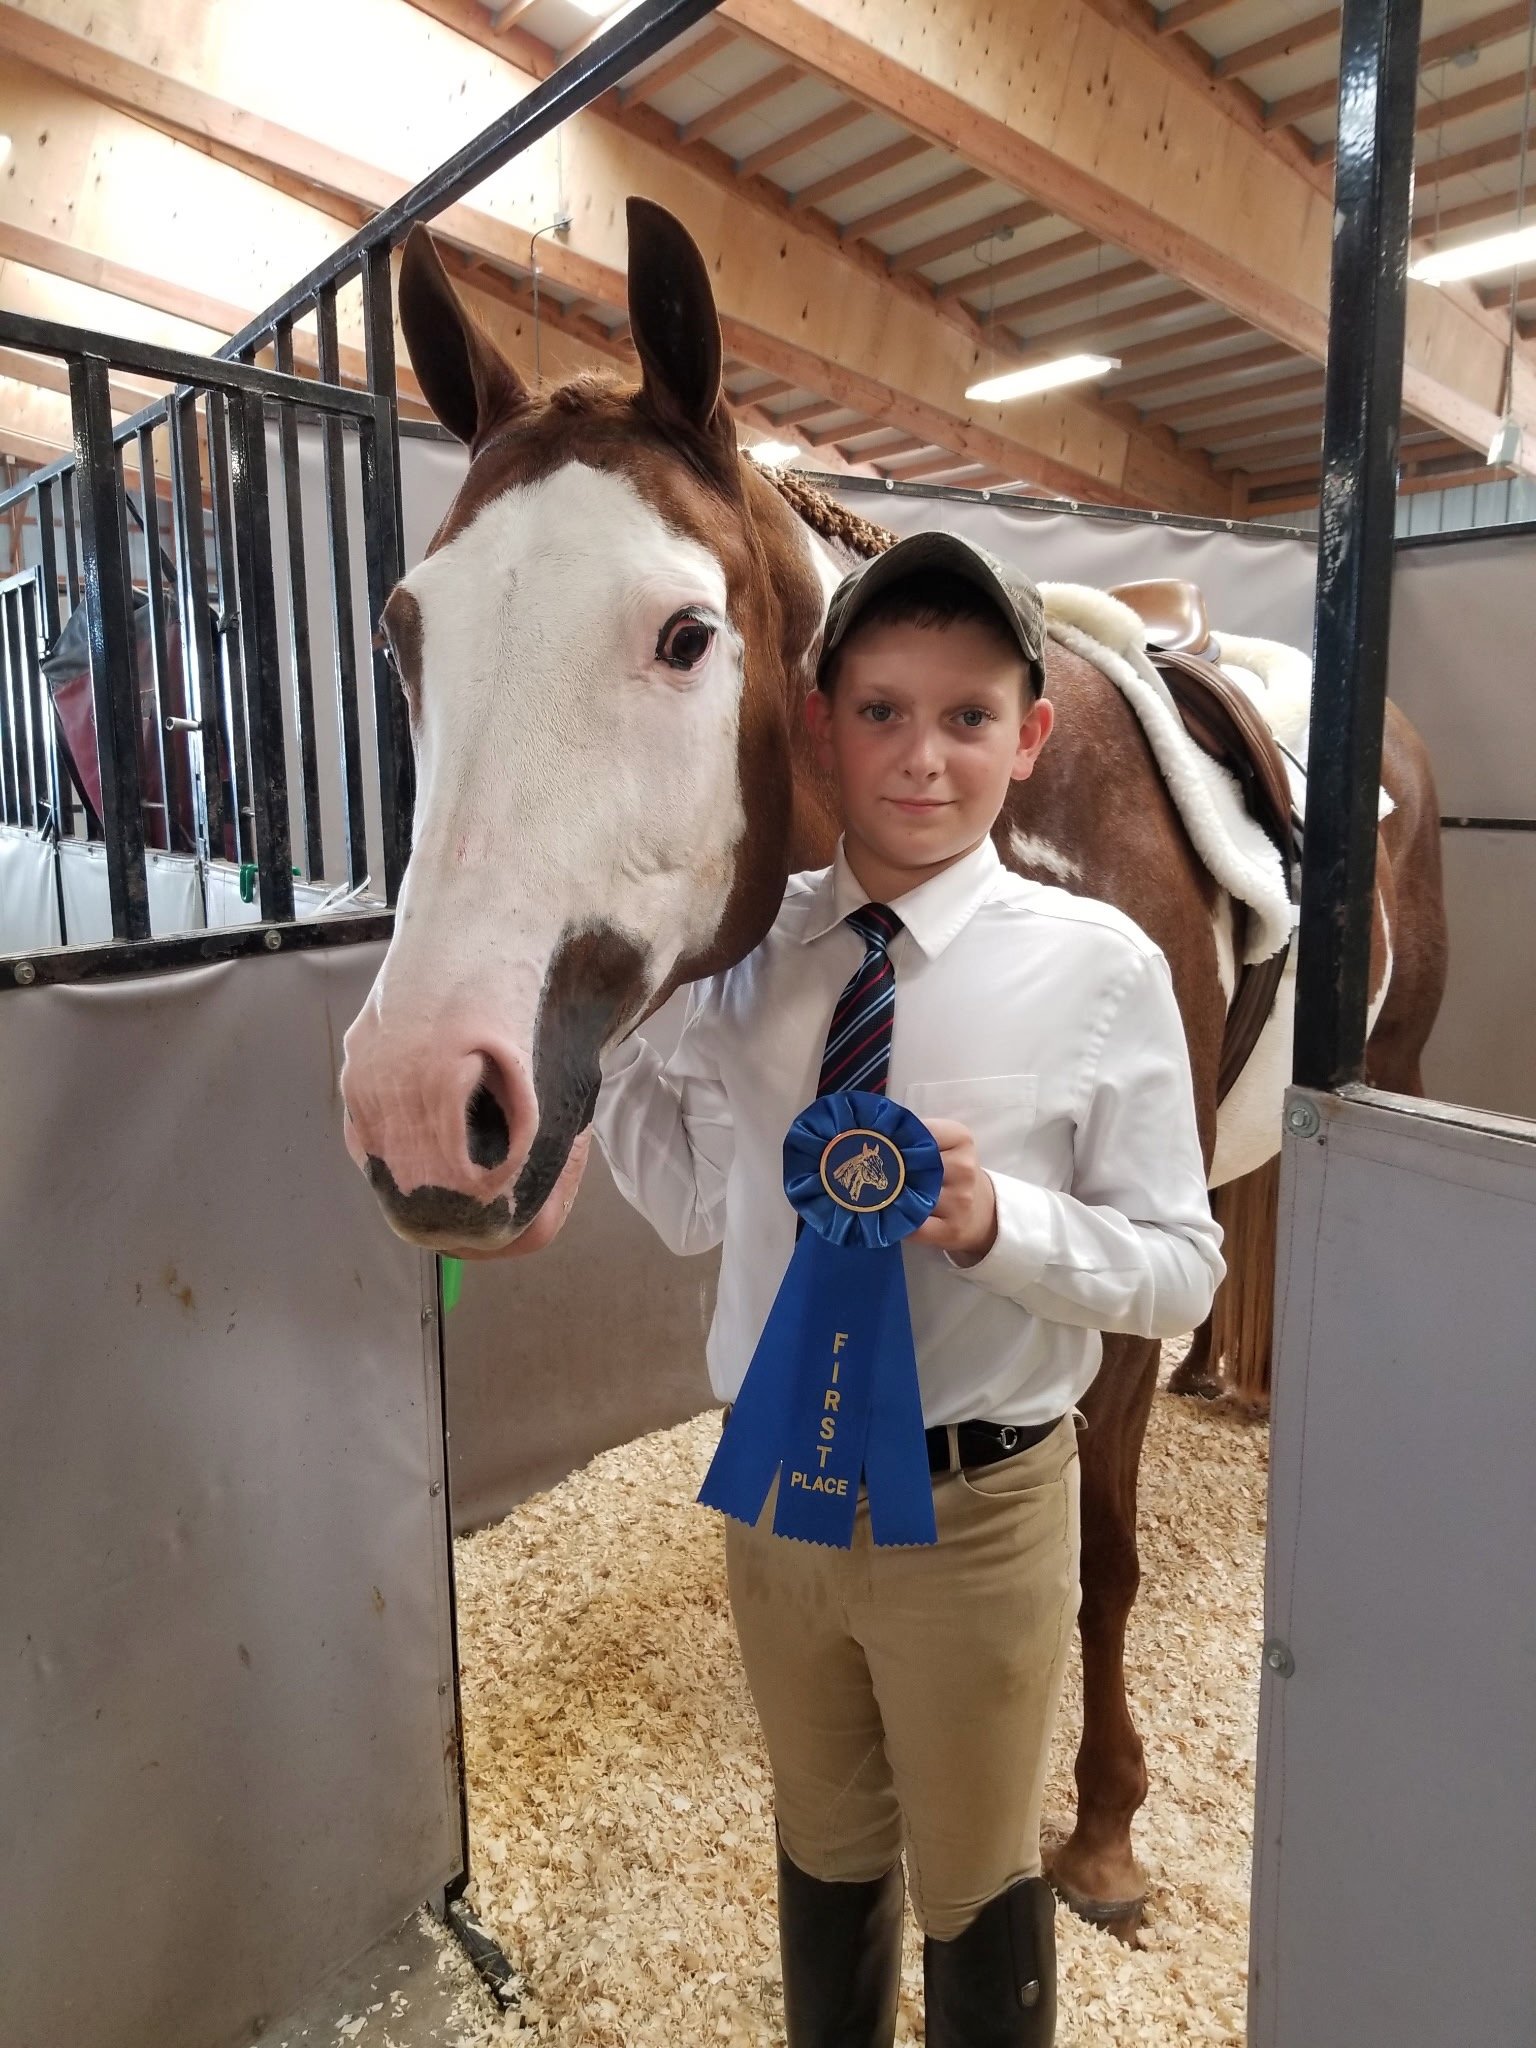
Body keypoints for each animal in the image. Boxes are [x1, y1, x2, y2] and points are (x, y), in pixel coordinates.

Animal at [338, 199, 1447, 1933]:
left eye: (686, 634)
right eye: (404, 635)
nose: (417, 1110)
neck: (1016, 833)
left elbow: (1101, 1551)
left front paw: (1105, 1831)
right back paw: (1227, 1373)